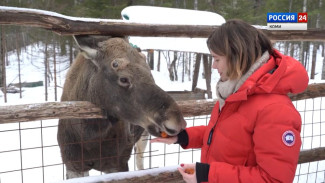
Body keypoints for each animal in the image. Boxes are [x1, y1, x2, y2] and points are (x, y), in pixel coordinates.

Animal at [57, 35, 186, 179]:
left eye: (150, 74)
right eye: (123, 79)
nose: (177, 121)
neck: (88, 134)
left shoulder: (118, 164)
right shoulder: (74, 166)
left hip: (143, 136)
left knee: (139, 160)